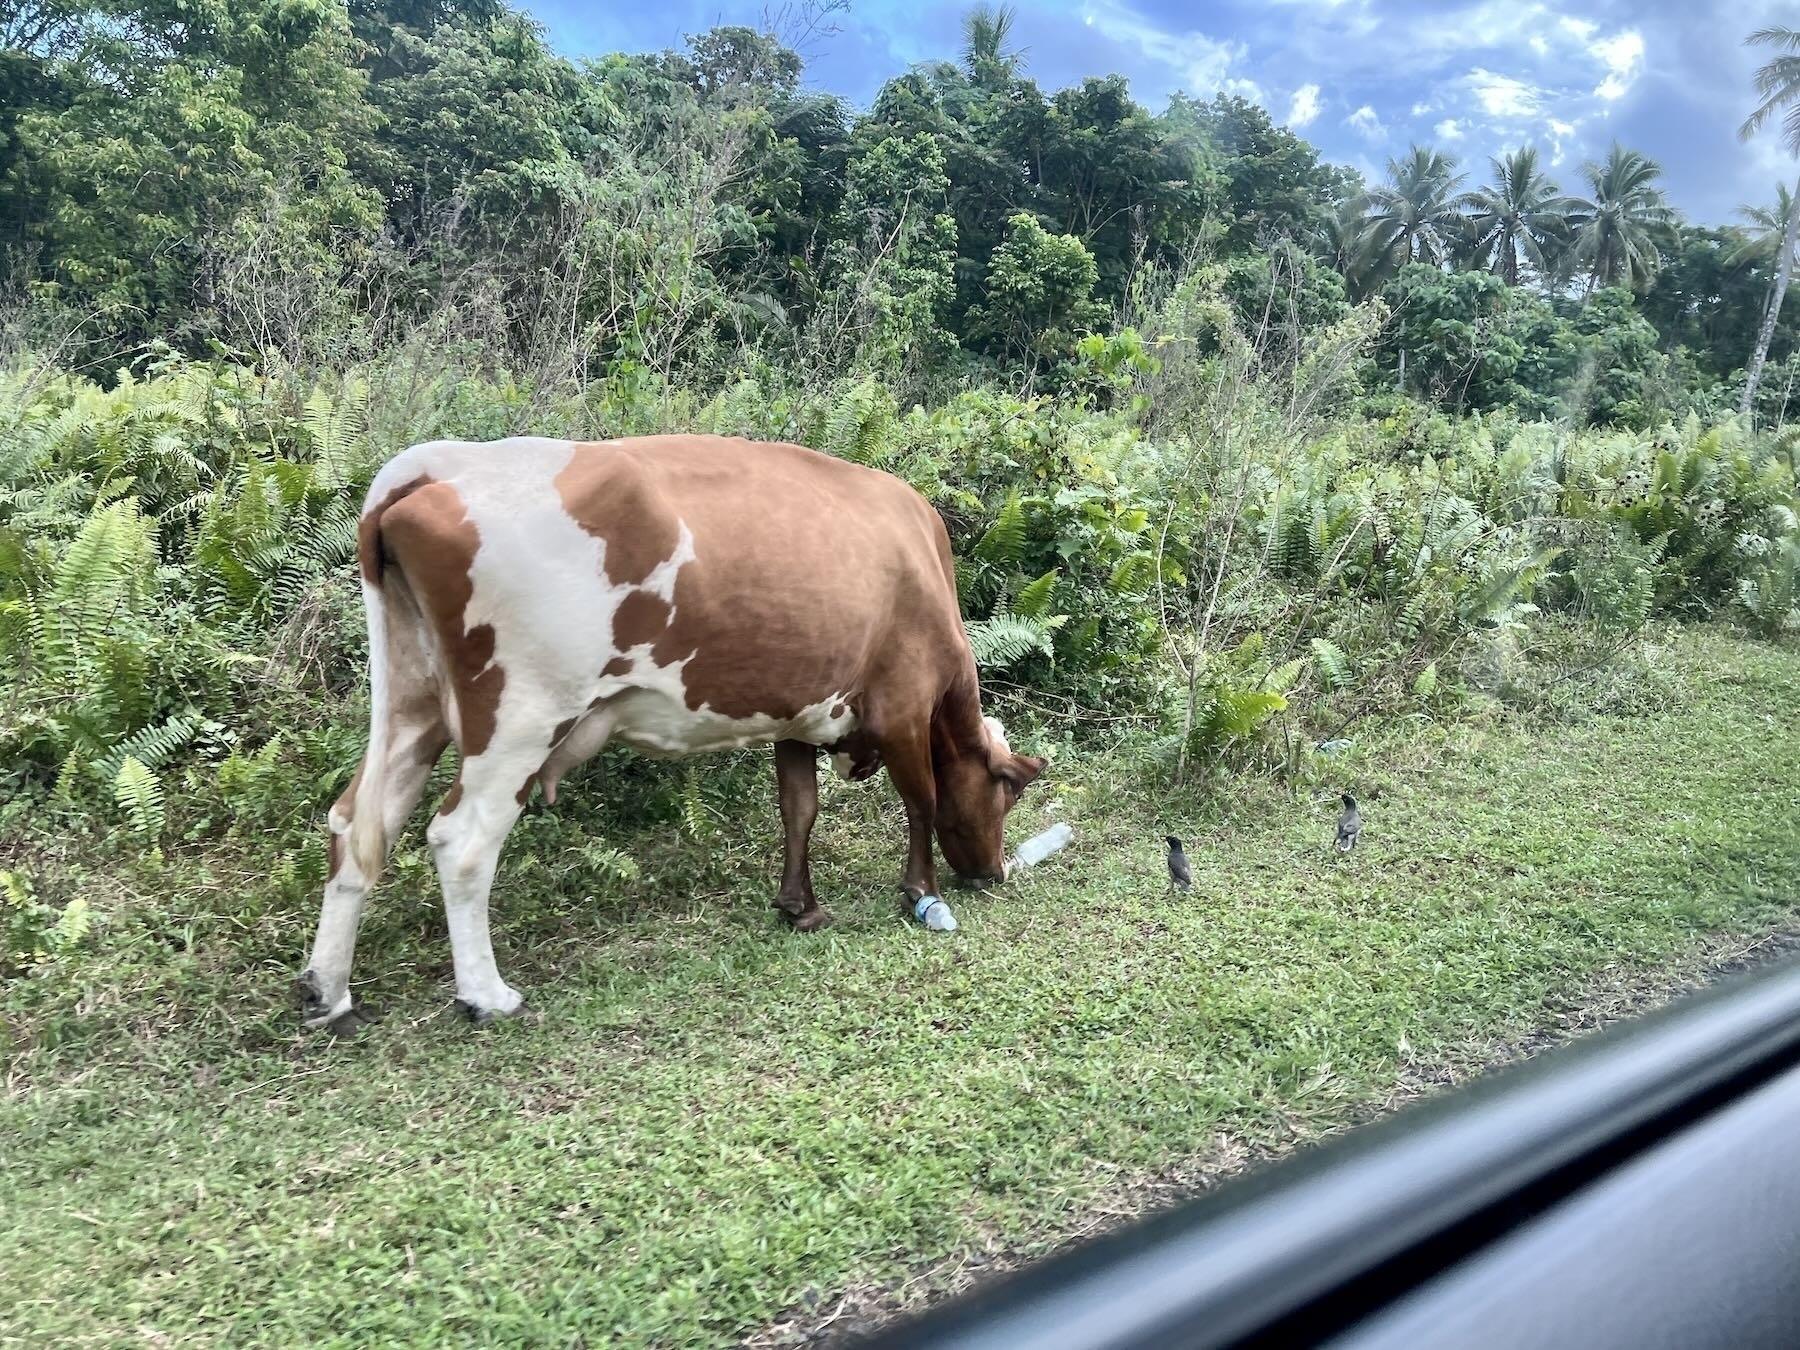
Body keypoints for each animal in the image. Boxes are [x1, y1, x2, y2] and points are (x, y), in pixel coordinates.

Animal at [300, 439, 1051, 1029]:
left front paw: (799, 908)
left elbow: (798, 809)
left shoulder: (799, 713)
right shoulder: (903, 705)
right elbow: (921, 801)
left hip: (413, 706)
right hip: (520, 717)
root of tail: (437, 463)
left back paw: (330, 994)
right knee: (461, 841)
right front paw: (920, 892)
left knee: (356, 822)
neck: (923, 566)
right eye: (1006, 794)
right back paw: (488, 996)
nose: (994, 872)